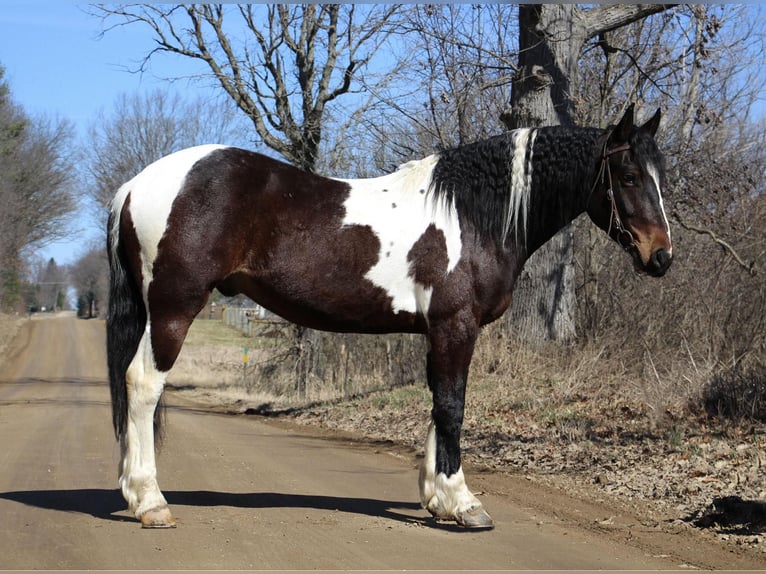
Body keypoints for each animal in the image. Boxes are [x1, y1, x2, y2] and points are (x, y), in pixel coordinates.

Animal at [106, 104, 672, 532]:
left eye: (660, 176)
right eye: (627, 175)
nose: (661, 257)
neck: (470, 214)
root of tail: (136, 184)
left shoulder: (439, 331)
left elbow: (439, 403)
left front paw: (437, 499)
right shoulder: (456, 325)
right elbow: (452, 406)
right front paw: (463, 503)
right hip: (174, 308)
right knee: (143, 384)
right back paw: (151, 502)